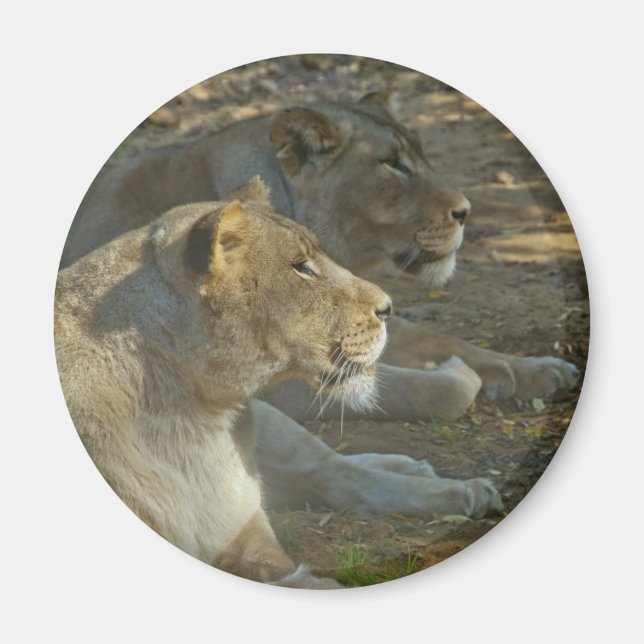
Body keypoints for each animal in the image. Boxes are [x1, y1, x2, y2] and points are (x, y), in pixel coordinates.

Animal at [55, 183, 501, 587]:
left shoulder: (254, 540)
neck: (194, 422)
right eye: (301, 267)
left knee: (334, 471)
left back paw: (457, 486)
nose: (388, 308)